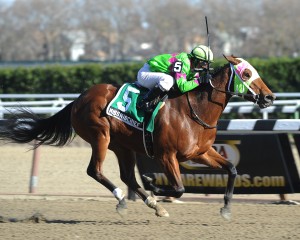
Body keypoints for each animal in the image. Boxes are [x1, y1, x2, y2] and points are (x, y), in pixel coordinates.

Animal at [0, 55, 276, 219]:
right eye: (247, 74)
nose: (270, 97)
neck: (195, 109)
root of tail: (79, 99)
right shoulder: (166, 155)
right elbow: (179, 188)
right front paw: (154, 183)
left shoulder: (200, 152)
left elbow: (231, 169)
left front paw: (226, 208)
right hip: (100, 136)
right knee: (95, 171)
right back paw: (123, 198)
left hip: (123, 146)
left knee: (127, 176)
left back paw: (154, 205)